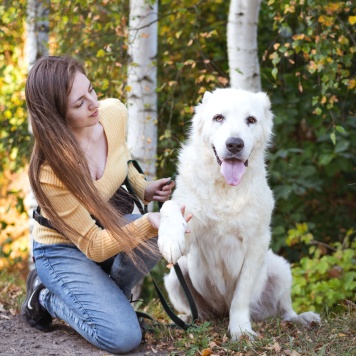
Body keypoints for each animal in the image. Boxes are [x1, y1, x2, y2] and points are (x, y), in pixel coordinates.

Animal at [158, 88, 320, 340]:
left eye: (250, 120)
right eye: (219, 118)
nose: (234, 144)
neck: (225, 188)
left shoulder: (257, 243)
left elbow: (241, 296)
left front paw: (241, 330)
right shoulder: (190, 233)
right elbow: (169, 206)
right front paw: (169, 238)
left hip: (280, 268)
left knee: (285, 310)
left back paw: (303, 318)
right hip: (176, 277)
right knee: (196, 312)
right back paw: (186, 319)